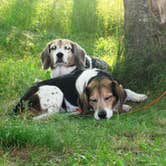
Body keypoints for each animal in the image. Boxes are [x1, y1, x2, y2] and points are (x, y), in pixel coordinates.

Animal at [13, 68, 148, 120]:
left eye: (108, 97)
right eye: (92, 100)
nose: (102, 115)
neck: (95, 77)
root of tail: (20, 101)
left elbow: (126, 90)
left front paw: (139, 96)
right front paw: (123, 106)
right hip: (56, 90)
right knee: (49, 114)